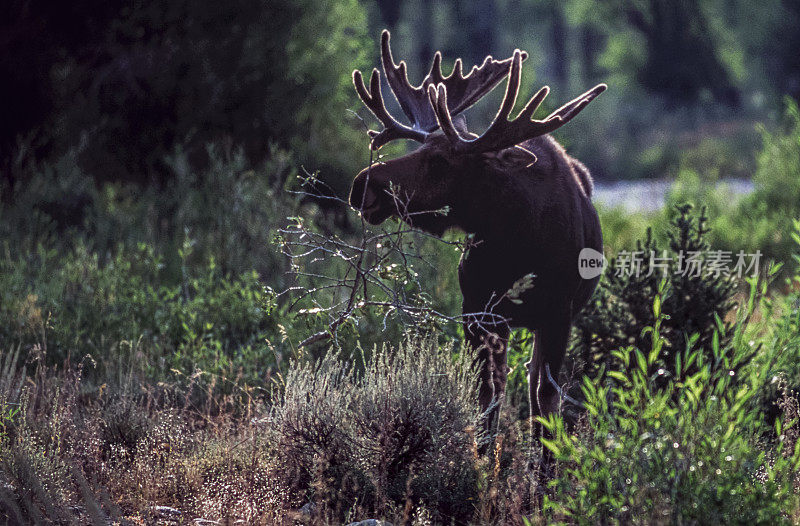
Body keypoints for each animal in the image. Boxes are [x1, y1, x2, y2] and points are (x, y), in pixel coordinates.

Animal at [350, 29, 608, 442]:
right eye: (422, 147)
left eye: (440, 160)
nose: (363, 185)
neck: (515, 244)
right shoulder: (476, 313)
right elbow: (487, 399)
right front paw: (485, 458)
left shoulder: (559, 314)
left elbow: (545, 402)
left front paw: (547, 461)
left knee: (536, 390)